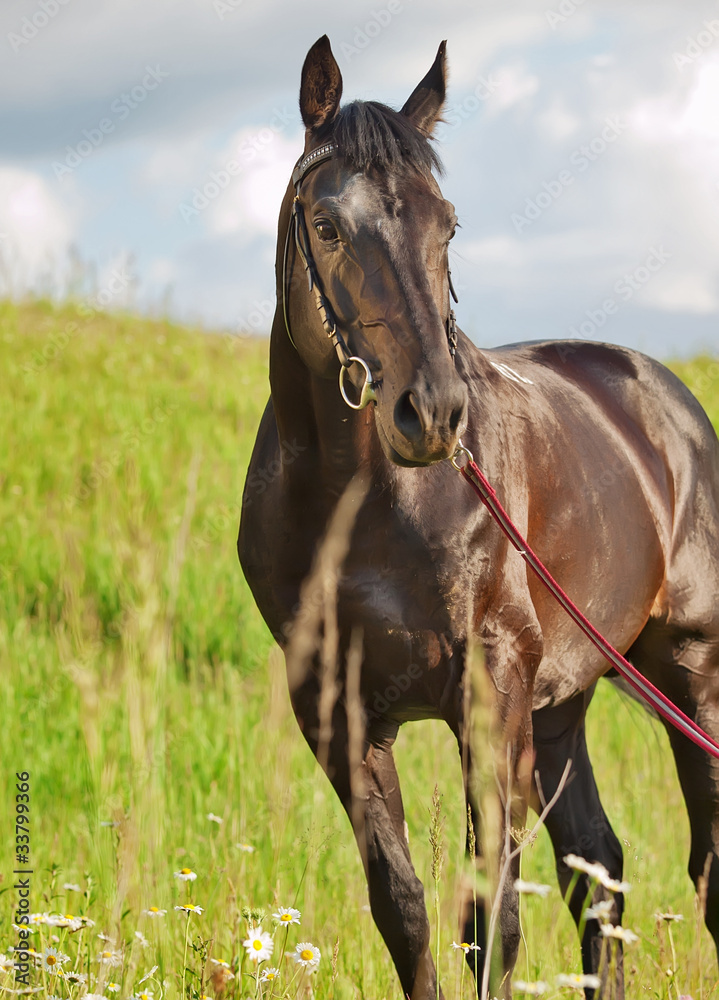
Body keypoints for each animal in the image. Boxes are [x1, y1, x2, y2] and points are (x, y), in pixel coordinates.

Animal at [239, 35, 719, 996]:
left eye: (446, 225)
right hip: (563, 706)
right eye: (326, 225)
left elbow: (491, 922)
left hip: (690, 673)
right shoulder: (336, 712)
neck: (358, 502)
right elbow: (405, 910)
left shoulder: (489, 691)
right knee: (599, 879)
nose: (431, 414)